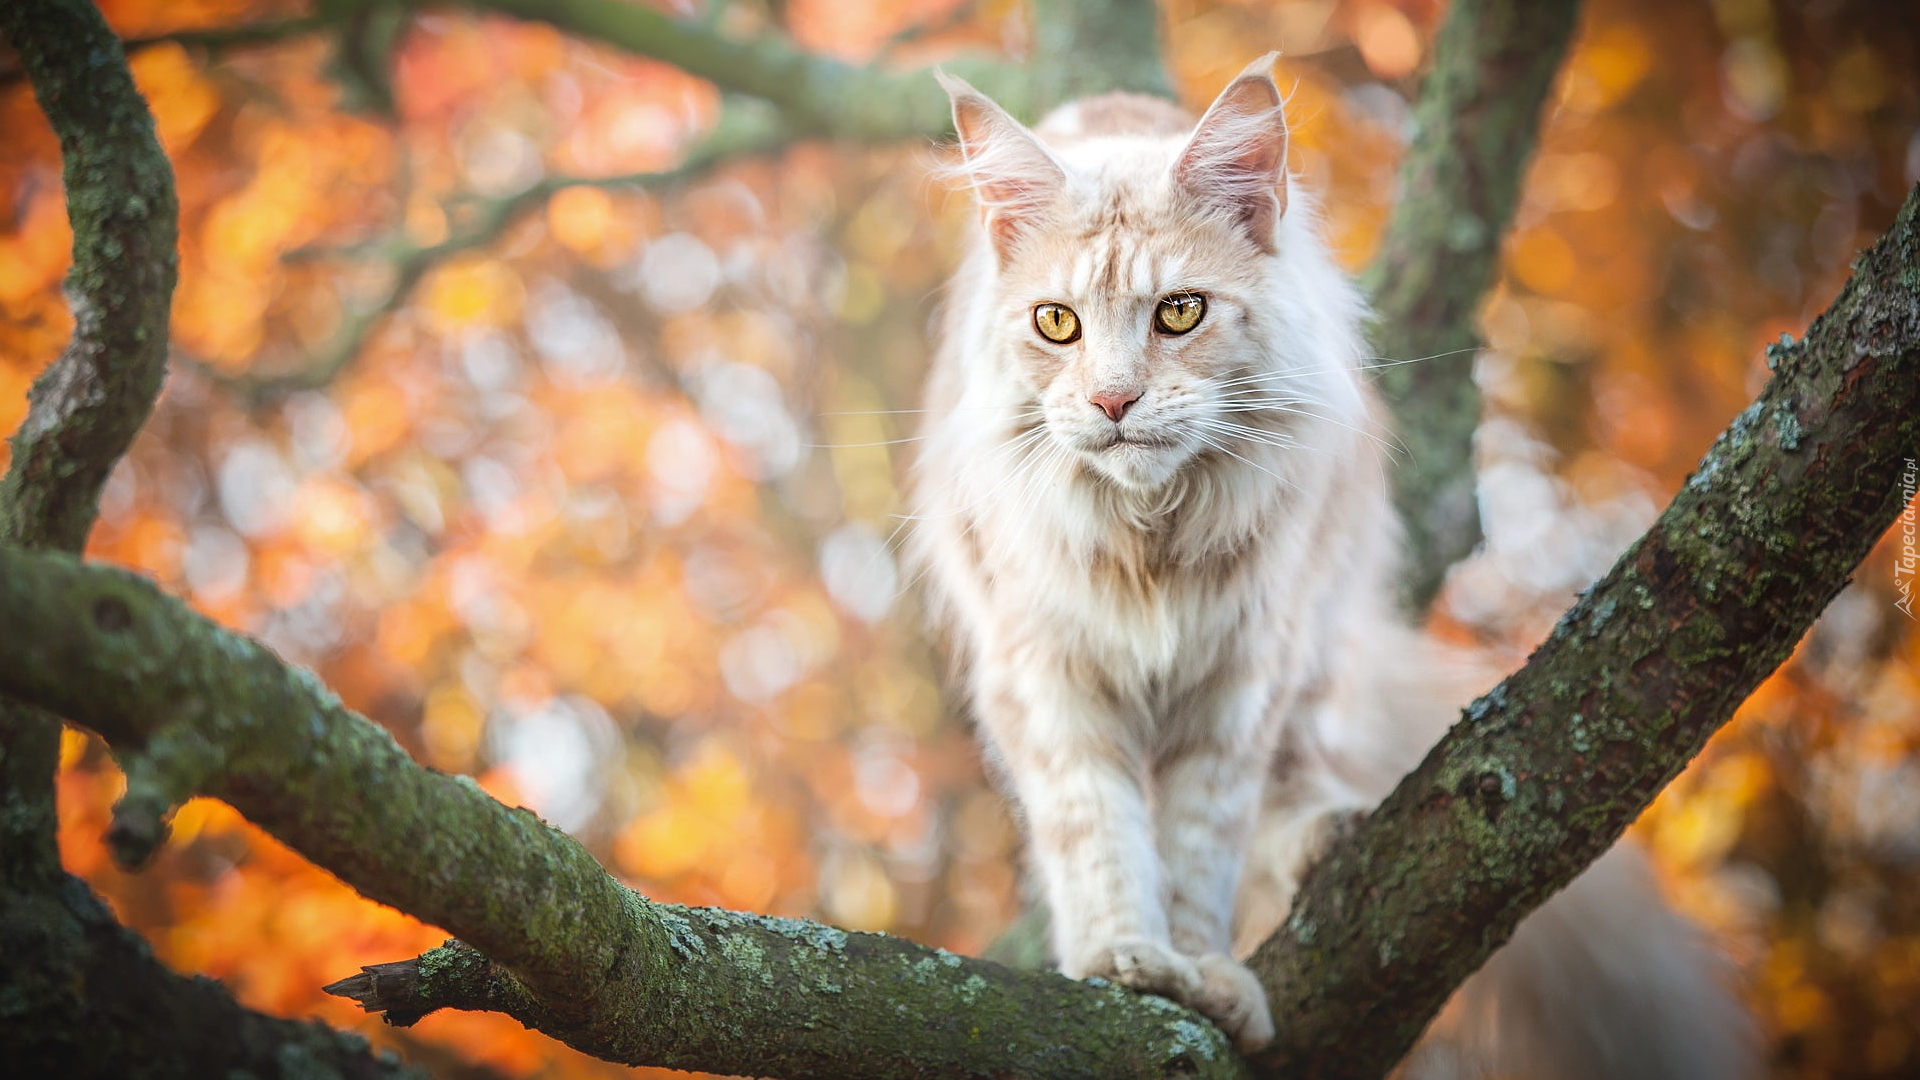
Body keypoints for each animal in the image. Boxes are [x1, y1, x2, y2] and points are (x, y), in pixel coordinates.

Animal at [906, 58, 1758, 1076]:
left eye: (1180, 312)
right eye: (1056, 323)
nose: (1113, 401)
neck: (1150, 540)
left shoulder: (1242, 677)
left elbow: (1203, 845)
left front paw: (1202, 973)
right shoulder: (1046, 675)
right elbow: (1097, 836)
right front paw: (1126, 962)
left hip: (1316, 644)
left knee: (1301, 780)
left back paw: (1321, 833)